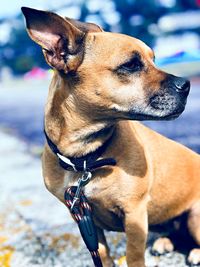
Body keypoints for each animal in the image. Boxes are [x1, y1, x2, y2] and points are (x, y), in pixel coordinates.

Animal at [21, 7, 200, 267]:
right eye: (131, 65)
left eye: (153, 59)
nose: (186, 85)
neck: (85, 158)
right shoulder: (84, 218)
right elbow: (103, 255)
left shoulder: (134, 215)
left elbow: (134, 255)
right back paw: (164, 243)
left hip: (195, 216)